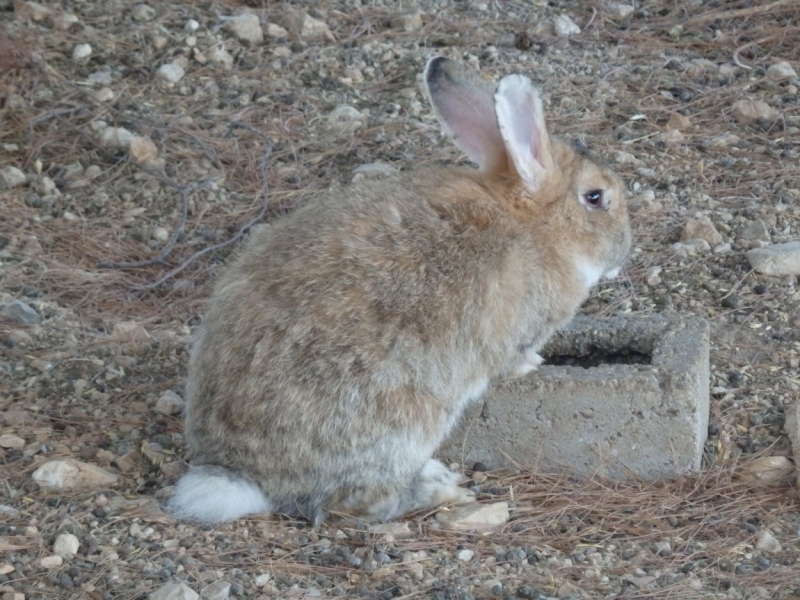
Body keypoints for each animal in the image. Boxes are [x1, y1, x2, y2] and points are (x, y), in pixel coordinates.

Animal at [167, 56, 632, 524]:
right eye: (595, 197)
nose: (625, 249)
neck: (533, 223)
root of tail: (246, 478)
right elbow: (514, 359)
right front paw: (533, 365)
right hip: (403, 421)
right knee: (357, 503)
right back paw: (439, 490)